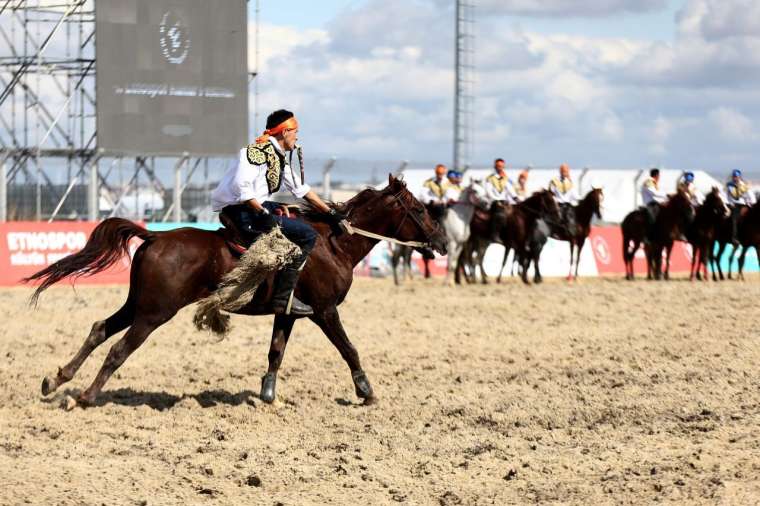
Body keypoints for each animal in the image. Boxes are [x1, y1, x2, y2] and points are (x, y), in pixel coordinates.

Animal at [26, 177, 448, 408]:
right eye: (420, 210)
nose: (443, 241)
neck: (333, 244)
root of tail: (155, 236)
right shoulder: (326, 311)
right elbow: (349, 349)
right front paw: (366, 391)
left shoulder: (289, 312)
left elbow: (276, 352)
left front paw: (267, 394)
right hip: (153, 313)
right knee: (118, 349)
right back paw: (86, 396)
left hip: (138, 304)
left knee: (99, 328)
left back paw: (57, 380)